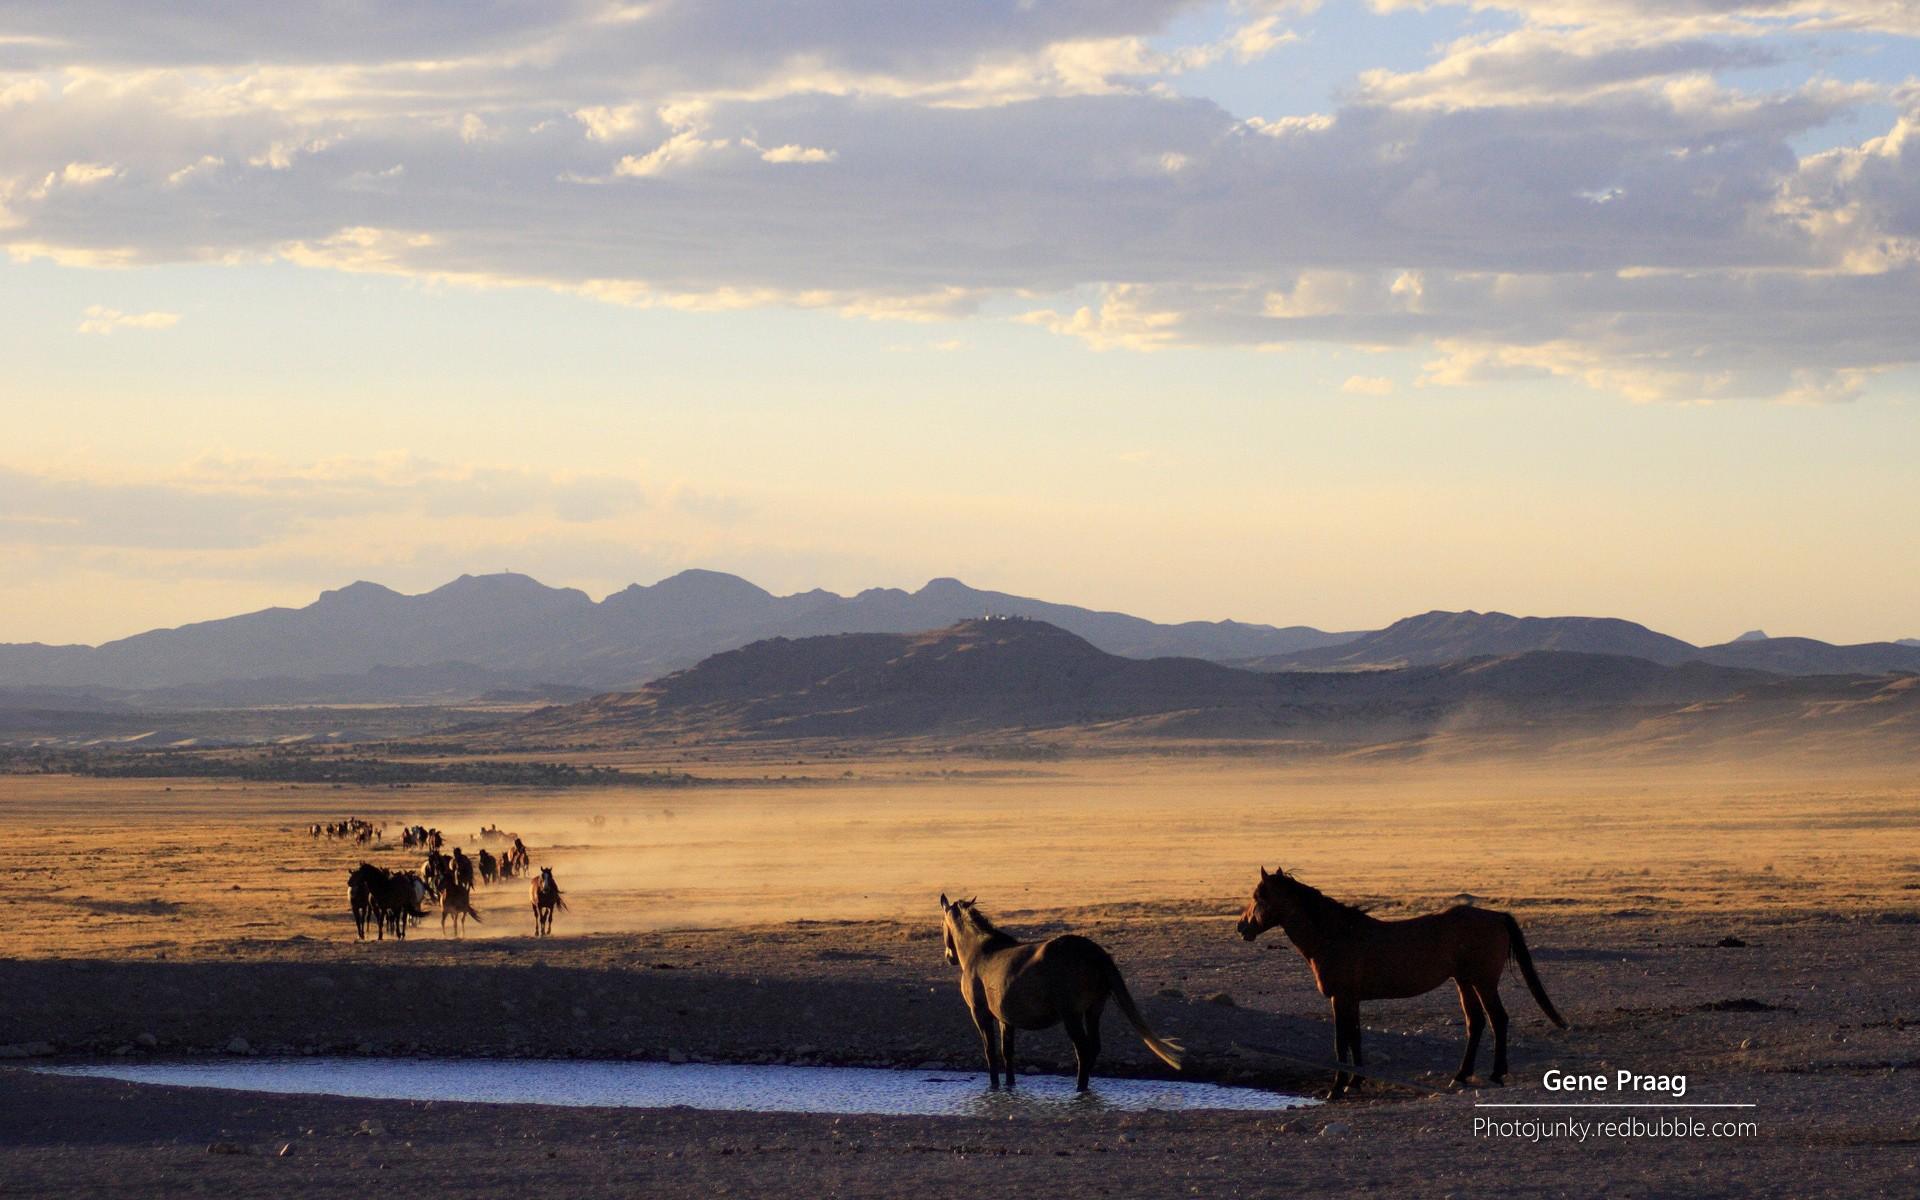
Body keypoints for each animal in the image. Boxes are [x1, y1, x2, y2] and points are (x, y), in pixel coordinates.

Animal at [936, 894, 1175, 1090]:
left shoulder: (980, 1013)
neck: (980, 952)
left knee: (1083, 1050)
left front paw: (994, 1086)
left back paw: (1079, 1089)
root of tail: (1094, 952)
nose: (949, 957)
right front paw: (1010, 1086)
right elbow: (1007, 1052)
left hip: (1072, 1016)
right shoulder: (1006, 1019)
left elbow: (990, 1052)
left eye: (942, 925)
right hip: (1093, 1010)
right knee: (1093, 1047)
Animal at [1236, 864, 1566, 1098]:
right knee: (1476, 1022)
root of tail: (1496, 916)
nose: (1241, 927)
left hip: (1483, 982)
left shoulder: (1340, 997)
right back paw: (1460, 1075)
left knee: (1498, 1019)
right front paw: (1356, 1081)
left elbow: (1340, 1042)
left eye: (1257, 897)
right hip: (1464, 981)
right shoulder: (1351, 999)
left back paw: (1496, 1074)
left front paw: (1337, 1087)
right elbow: (1355, 1038)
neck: (1336, 935)